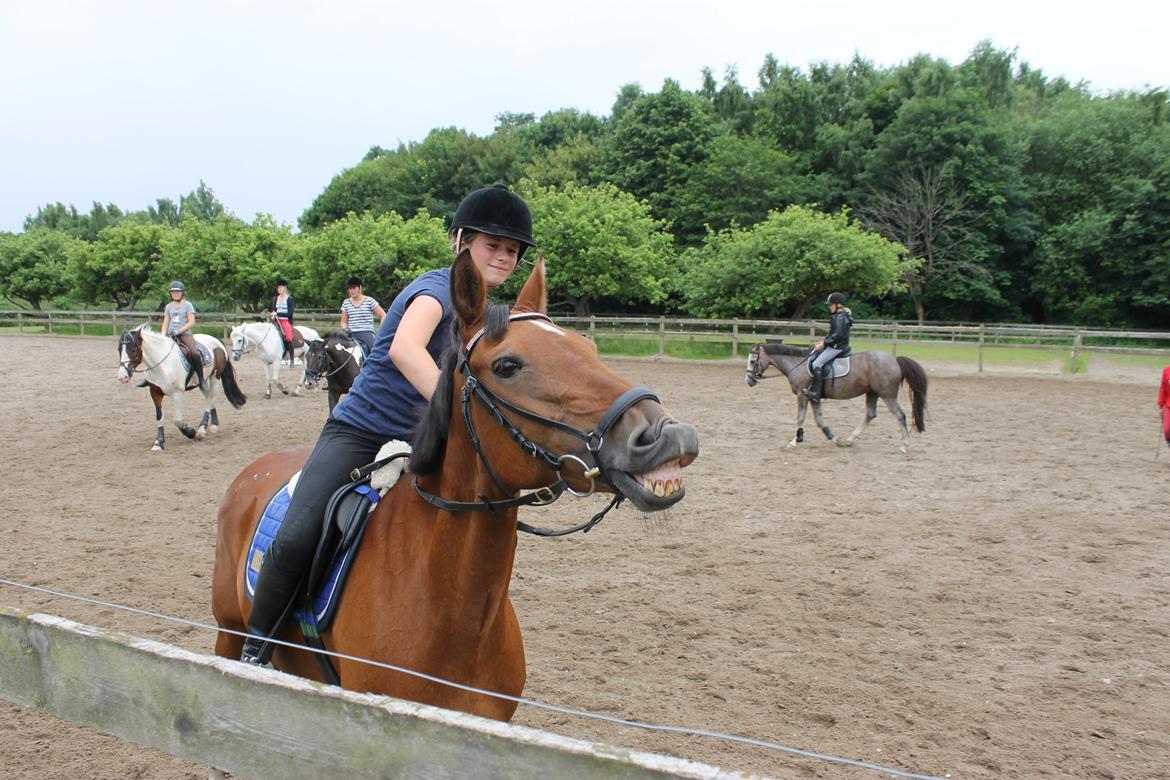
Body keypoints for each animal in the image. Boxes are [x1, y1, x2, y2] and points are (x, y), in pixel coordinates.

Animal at [116, 322, 246, 451]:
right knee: (209, 398)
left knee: (211, 398)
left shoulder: (178, 393)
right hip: (202, 383)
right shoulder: (154, 392)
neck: (162, 365)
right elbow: (159, 416)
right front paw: (159, 442)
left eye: (133, 350)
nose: (122, 377)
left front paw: (191, 432)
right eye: (119, 350)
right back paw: (213, 425)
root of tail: (216, 340)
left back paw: (201, 429)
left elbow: (177, 420)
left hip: (215, 377)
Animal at [214, 250, 697, 720]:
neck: (455, 617)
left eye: (588, 347)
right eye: (507, 365)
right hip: (228, 632)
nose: (667, 434)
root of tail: (254, 471)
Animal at [744, 339, 926, 451]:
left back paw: (905, 445)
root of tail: (895, 360)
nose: (749, 381)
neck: (797, 364)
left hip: (887, 395)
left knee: (900, 415)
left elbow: (800, 418)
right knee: (870, 415)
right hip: (872, 392)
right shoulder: (813, 397)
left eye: (753, 361)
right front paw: (833, 437)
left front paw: (794, 441)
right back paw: (849, 440)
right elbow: (819, 421)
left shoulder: (802, 395)